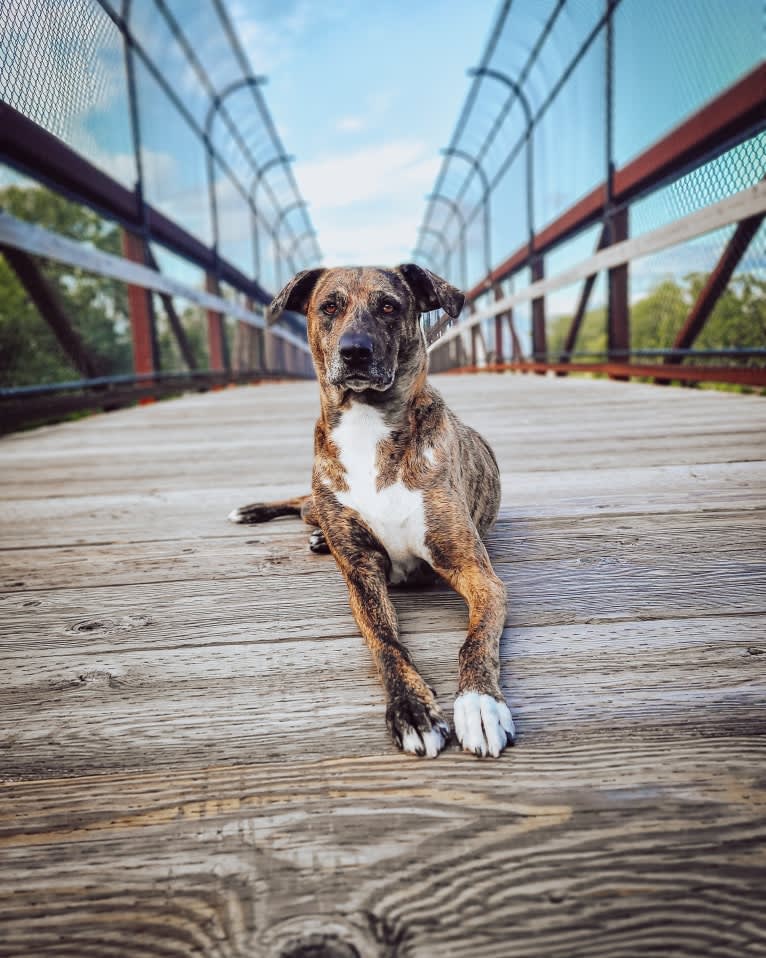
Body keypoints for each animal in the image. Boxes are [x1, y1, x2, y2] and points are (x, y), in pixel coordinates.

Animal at [228, 266, 516, 760]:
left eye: (388, 306)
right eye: (329, 306)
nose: (355, 351)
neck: (368, 426)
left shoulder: (478, 575)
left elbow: (476, 640)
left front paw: (479, 703)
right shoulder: (361, 575)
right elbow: (386, 641)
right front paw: (412, 709)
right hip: (318, 500)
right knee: (304, 505)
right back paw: (258, 513)